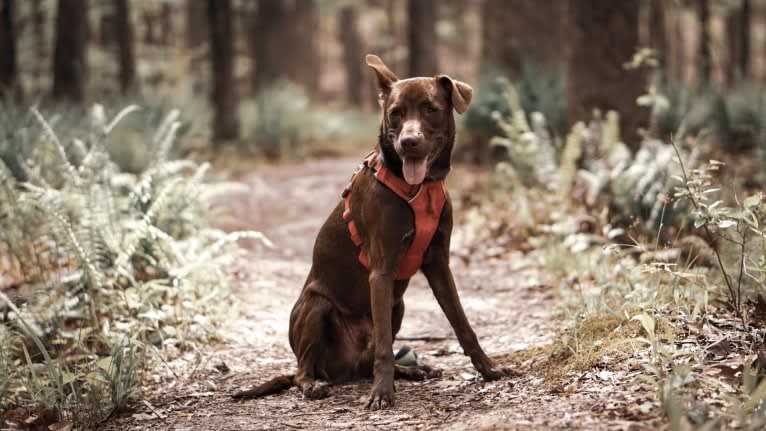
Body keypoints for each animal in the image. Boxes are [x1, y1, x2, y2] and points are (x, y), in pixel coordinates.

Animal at [231, 54, 512, 412]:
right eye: (395, 112)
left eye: (430, 108)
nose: (408, 142)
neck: (418, 189)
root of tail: (343, 369)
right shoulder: (381, 272)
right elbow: (384, 348)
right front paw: (382, 393)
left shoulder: (438, 265)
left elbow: (462, 324)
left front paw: (488, 369)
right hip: (317, 305)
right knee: (303, 370)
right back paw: (315, 385)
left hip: (398, 306)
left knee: (368, 361)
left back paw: (414, 370)